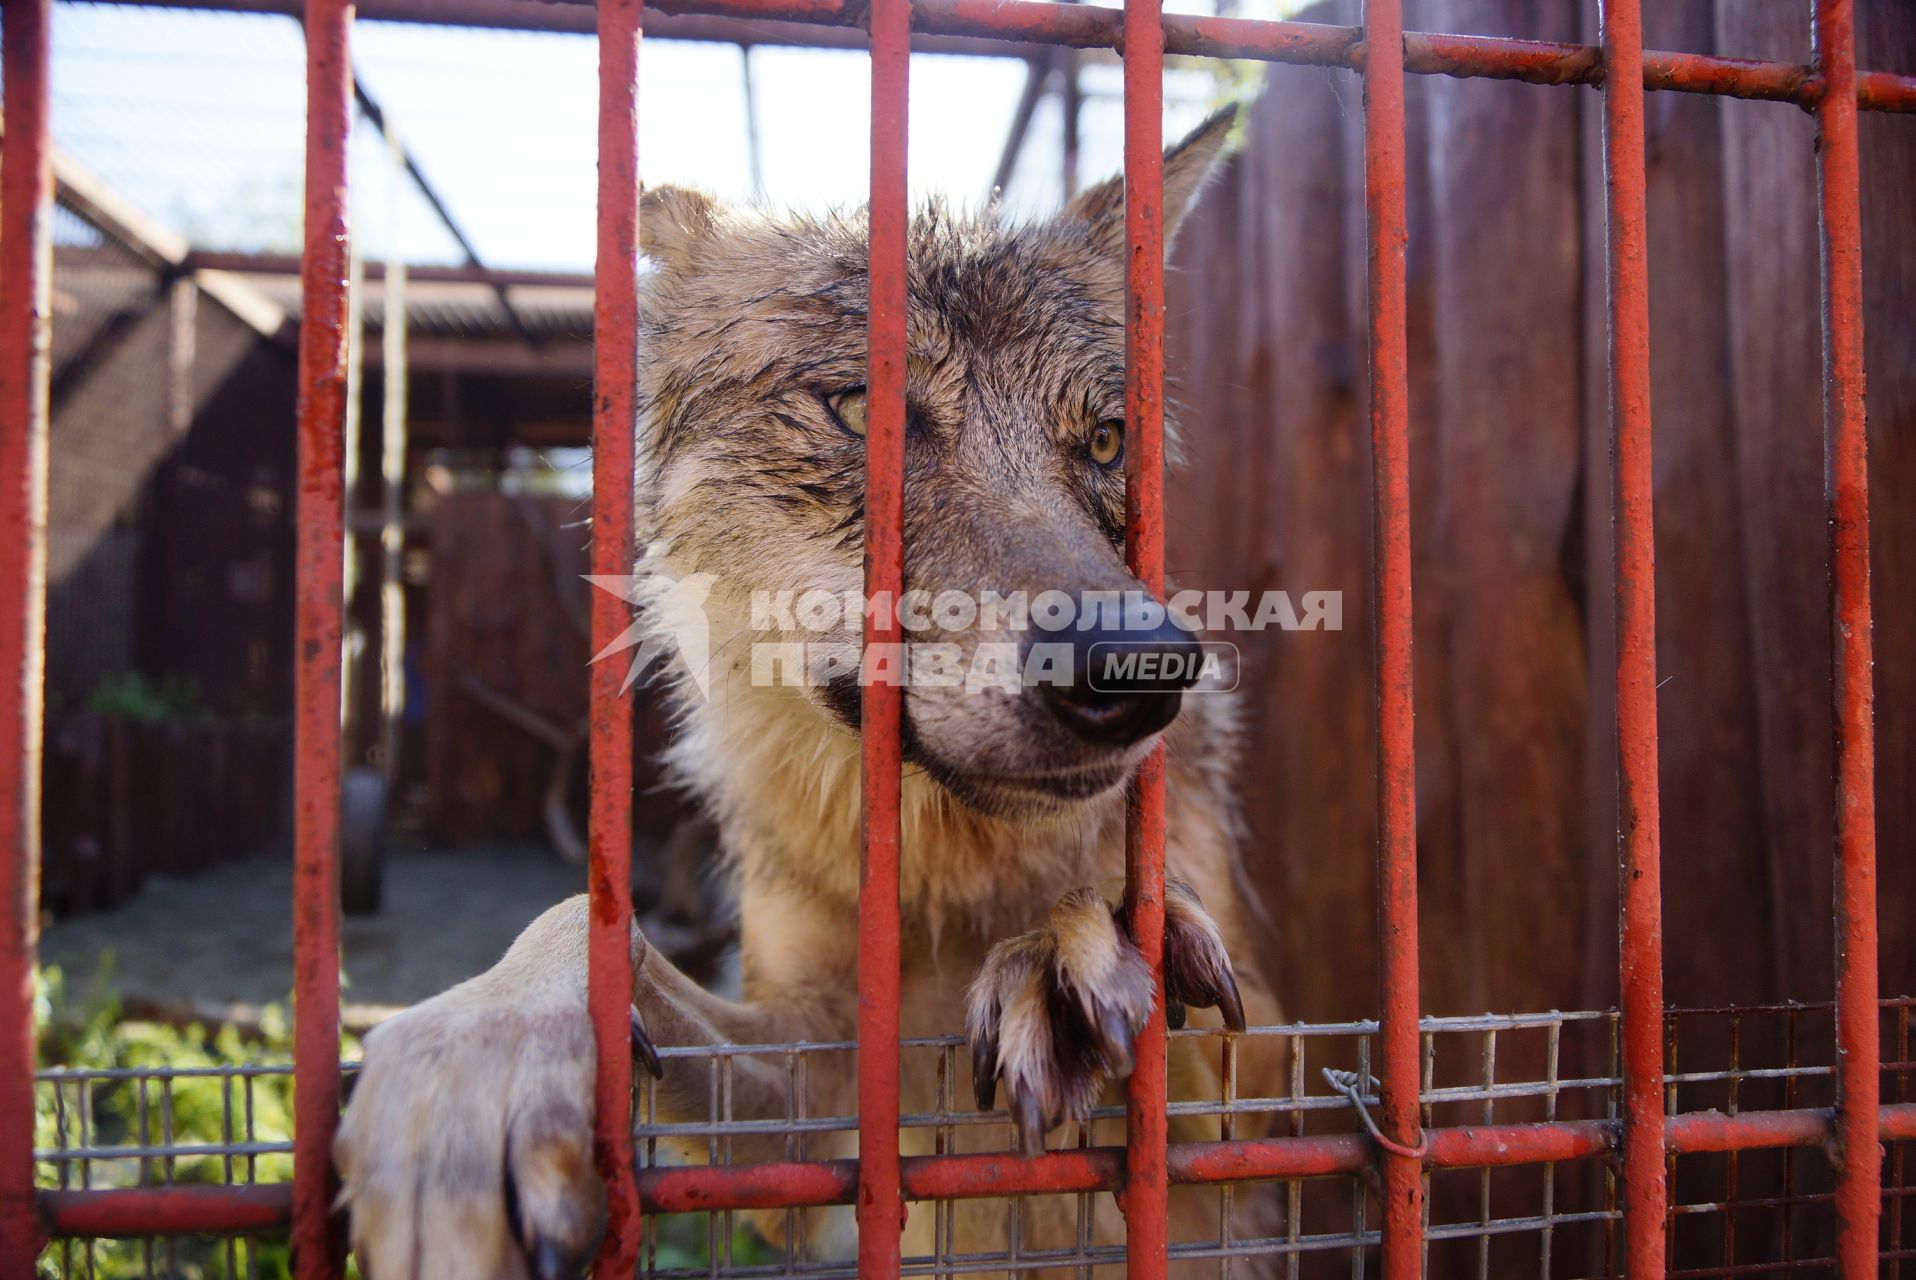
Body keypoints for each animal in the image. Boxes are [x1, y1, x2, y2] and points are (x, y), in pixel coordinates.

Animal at [329, 110, 1287, 1280]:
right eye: (862, 408)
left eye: (1105, 440)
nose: (1135, 669)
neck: (945, 889)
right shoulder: (808, 1115)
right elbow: (586, 925)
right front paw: (470, 1065)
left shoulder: (1275, 1095)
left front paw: (1072, 943)